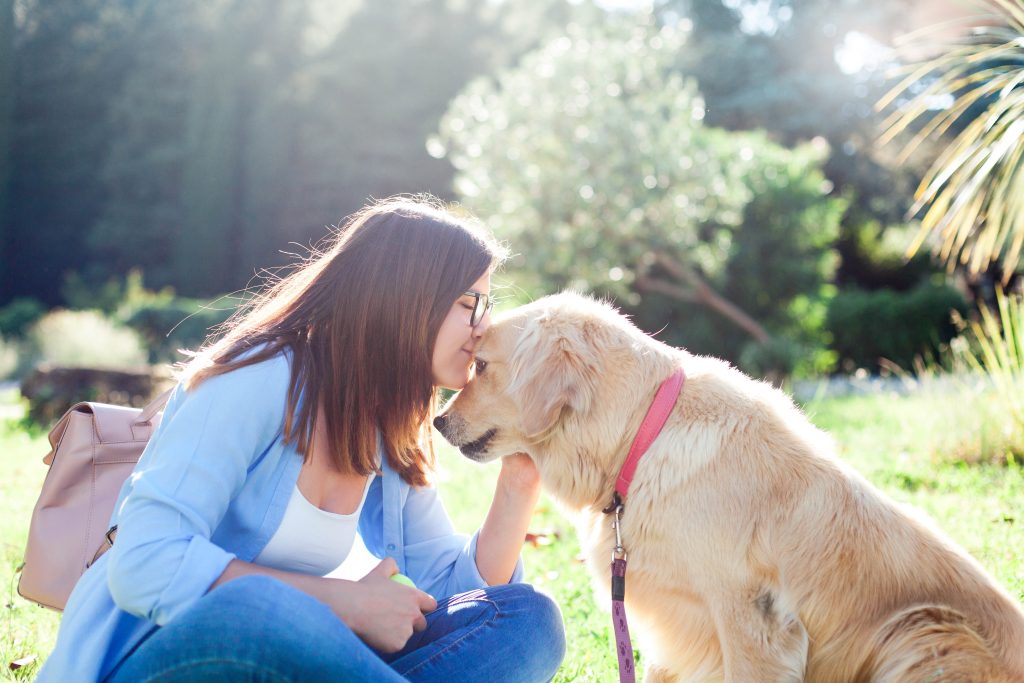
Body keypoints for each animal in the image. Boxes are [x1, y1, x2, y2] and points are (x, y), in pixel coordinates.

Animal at [434, 294, 1024, 683]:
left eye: (480, 365)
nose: (437, 422)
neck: (641, 436)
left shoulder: (749, 618)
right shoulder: (674, 626)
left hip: (924, 629)